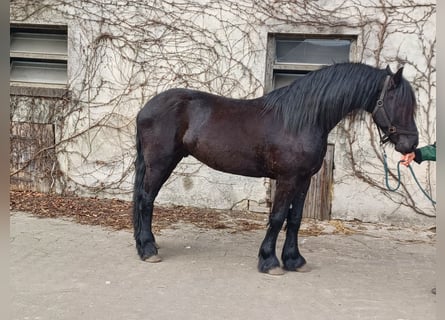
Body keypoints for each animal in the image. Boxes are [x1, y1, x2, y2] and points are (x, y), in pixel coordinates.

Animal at [131, 62, 416, 276]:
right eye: (399, 104)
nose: (411, 144)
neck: (302, 120)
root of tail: (145, 109)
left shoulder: (304, 180)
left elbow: (295, 219)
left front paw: (294, 260)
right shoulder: (287, 179)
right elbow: (278, 217)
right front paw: (269, 262)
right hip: (160, 163)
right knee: (146, 200)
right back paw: (148, 249)